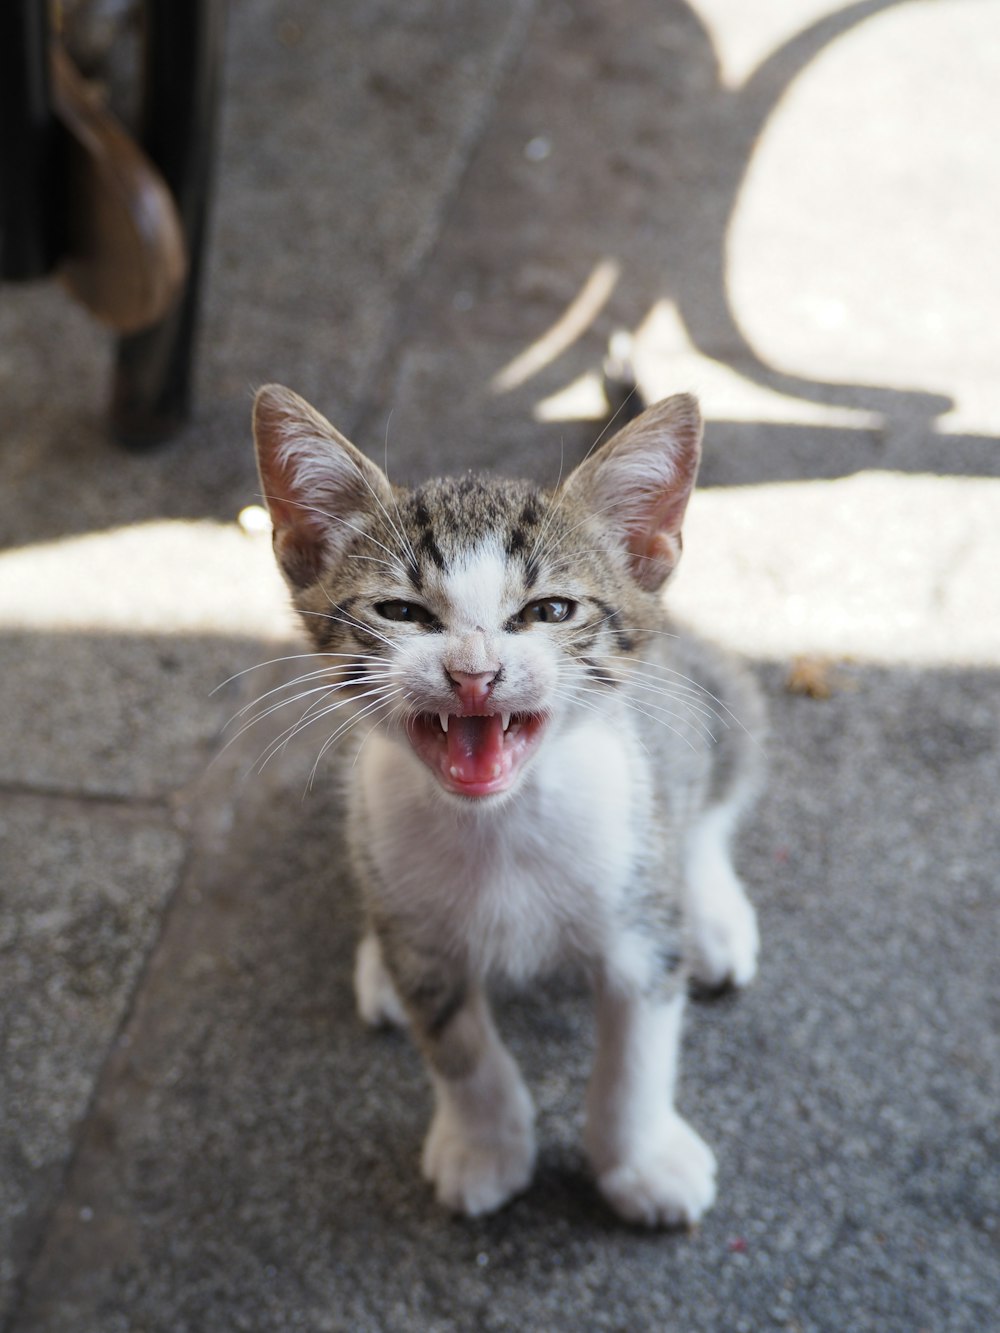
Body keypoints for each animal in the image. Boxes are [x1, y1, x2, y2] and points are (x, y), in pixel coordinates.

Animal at [252, 381, 768, 1221]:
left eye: (551, 610)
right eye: (402, 612)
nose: (474, 672)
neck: (497, 824)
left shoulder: (638, 929)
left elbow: (638, 1051)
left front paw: (640, 1160)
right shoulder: (419, 933)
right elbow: (461, 1051)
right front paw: (485, 1145)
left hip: (706, 694)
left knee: (712, 801)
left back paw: (714, 914)